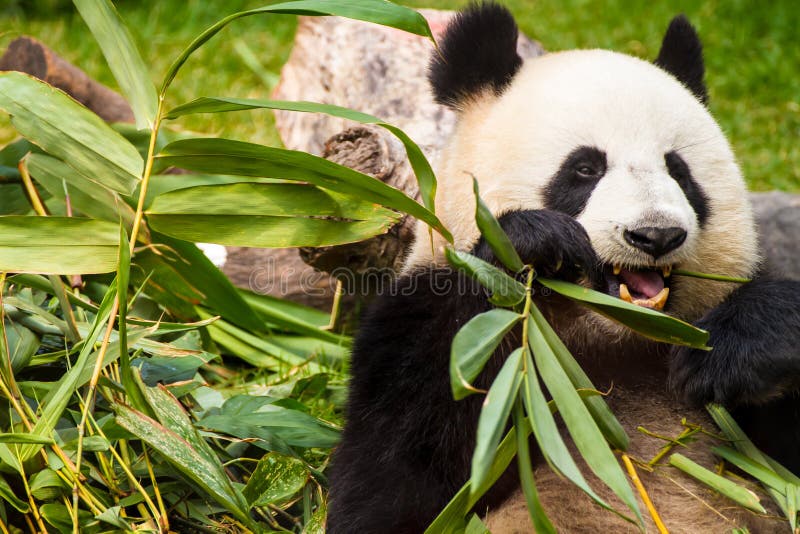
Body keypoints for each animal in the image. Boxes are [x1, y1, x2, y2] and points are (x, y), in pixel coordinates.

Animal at [328, 4, 800, 534]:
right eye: (585, 169)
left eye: (679, 171)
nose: (656, 235)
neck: (616, 342)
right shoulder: (409, 322)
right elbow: (395, 484)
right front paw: (534, 244)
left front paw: (732, 353)